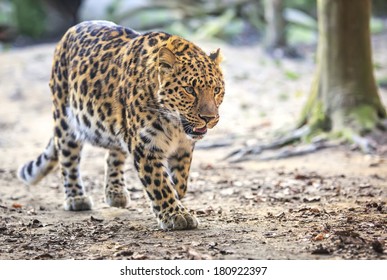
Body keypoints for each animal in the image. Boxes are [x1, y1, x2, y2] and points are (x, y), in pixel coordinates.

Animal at [17, 19, 224, 230]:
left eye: (216, 90)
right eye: (189, 89)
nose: (209, 117)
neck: (175, 125)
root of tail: (70, 31)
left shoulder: (184, 147)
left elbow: (180, 181)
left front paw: (176, 201)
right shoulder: (145, 145)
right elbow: (160, 182)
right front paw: (175, 214)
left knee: (113, 155)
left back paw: (115, 192)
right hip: (65, 120)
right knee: (68, 159)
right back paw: (76, 197)